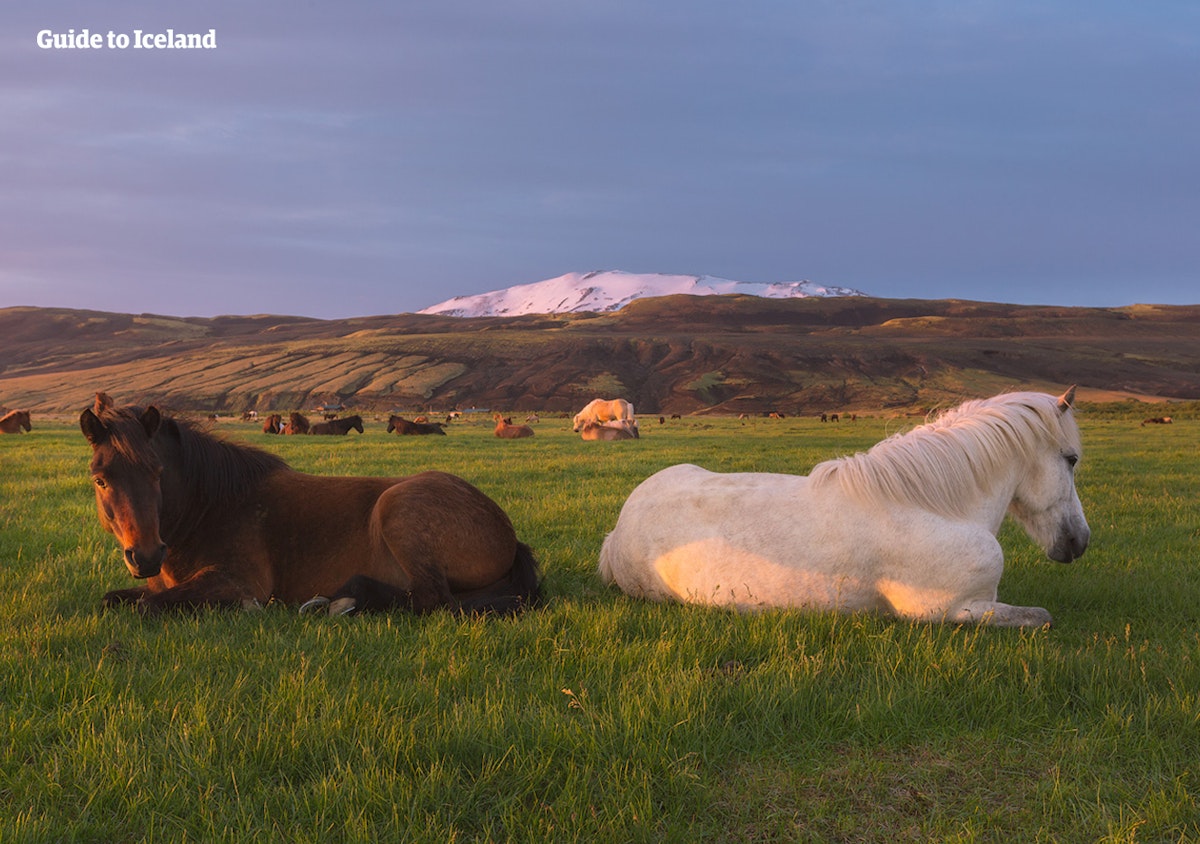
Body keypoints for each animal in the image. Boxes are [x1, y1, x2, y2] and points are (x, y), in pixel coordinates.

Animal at [78, 393, 540, 619]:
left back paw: (345, 601)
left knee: (432, 600)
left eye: (157, 473)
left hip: (399, 508)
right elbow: (117, 598)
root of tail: (506, 530)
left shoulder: (238, 582)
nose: (146, 556)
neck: (210, 509)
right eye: (100, 479)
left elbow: (148, 606)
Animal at [600, 388, 1089, 629]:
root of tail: (617, 528)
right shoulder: (955, 610)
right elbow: (1041, 619)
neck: (934, 507)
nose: (1079, 541)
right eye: (1071, 459)